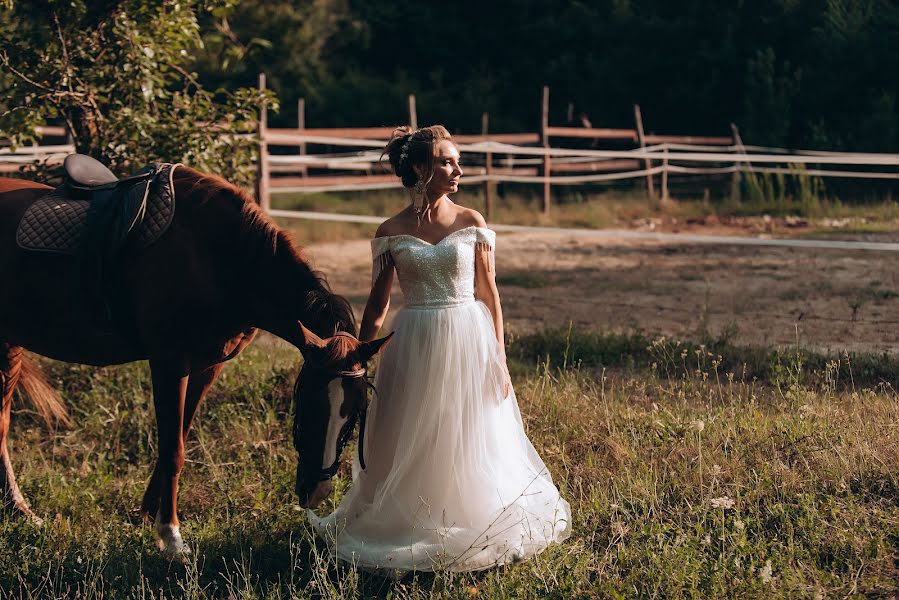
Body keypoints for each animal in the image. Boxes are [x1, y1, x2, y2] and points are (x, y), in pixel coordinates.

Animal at [0, 166, 388, 556]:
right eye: (307, 401)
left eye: (357, 413)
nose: (316, 491)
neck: (218, 260)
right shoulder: (170, 363)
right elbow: (173, 449)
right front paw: (171, 536)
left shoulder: (207, 366)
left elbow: (179, 438)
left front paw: (149, 512)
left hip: (9, 346)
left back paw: (19, 511)